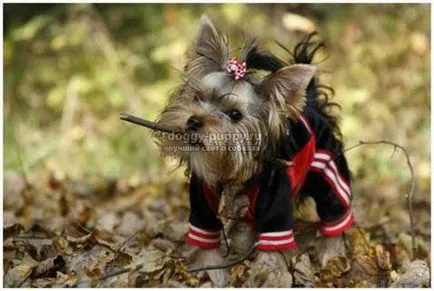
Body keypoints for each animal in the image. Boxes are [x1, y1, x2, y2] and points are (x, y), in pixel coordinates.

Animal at [155, 16, 352, 288]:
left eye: (235, 115)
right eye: (197, 97)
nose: (194, 121)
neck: (229, 171)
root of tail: (312, 104)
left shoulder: (276, 200)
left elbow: (273, 246)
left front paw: (267, 276)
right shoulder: (201, 199)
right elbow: (206, 236)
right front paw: (213, 273)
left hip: (327, 168)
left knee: (334, 208)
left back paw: (331, 255)